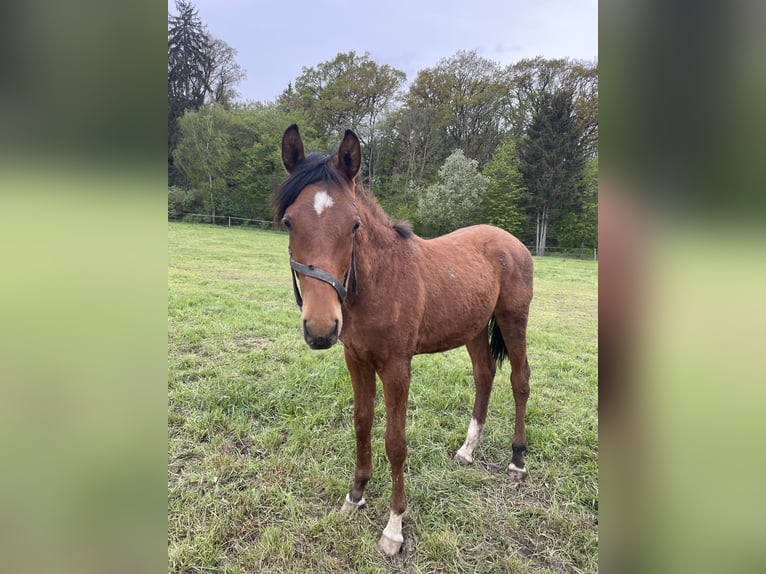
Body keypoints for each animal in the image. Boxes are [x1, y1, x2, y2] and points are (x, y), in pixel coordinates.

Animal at [274, 126, 536, 560]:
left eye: (354, 225)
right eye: (289, 222)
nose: (321, 327)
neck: (380, 281)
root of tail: (511, 241)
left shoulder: (397, 366)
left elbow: (395, 443)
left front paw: (394, 528)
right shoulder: (356, 360)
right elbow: (362, 424)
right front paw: (355, 496)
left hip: (513, 320)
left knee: (520, 380)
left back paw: (517, 461)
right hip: (474, 329)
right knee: (484, 375)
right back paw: (468, 450)